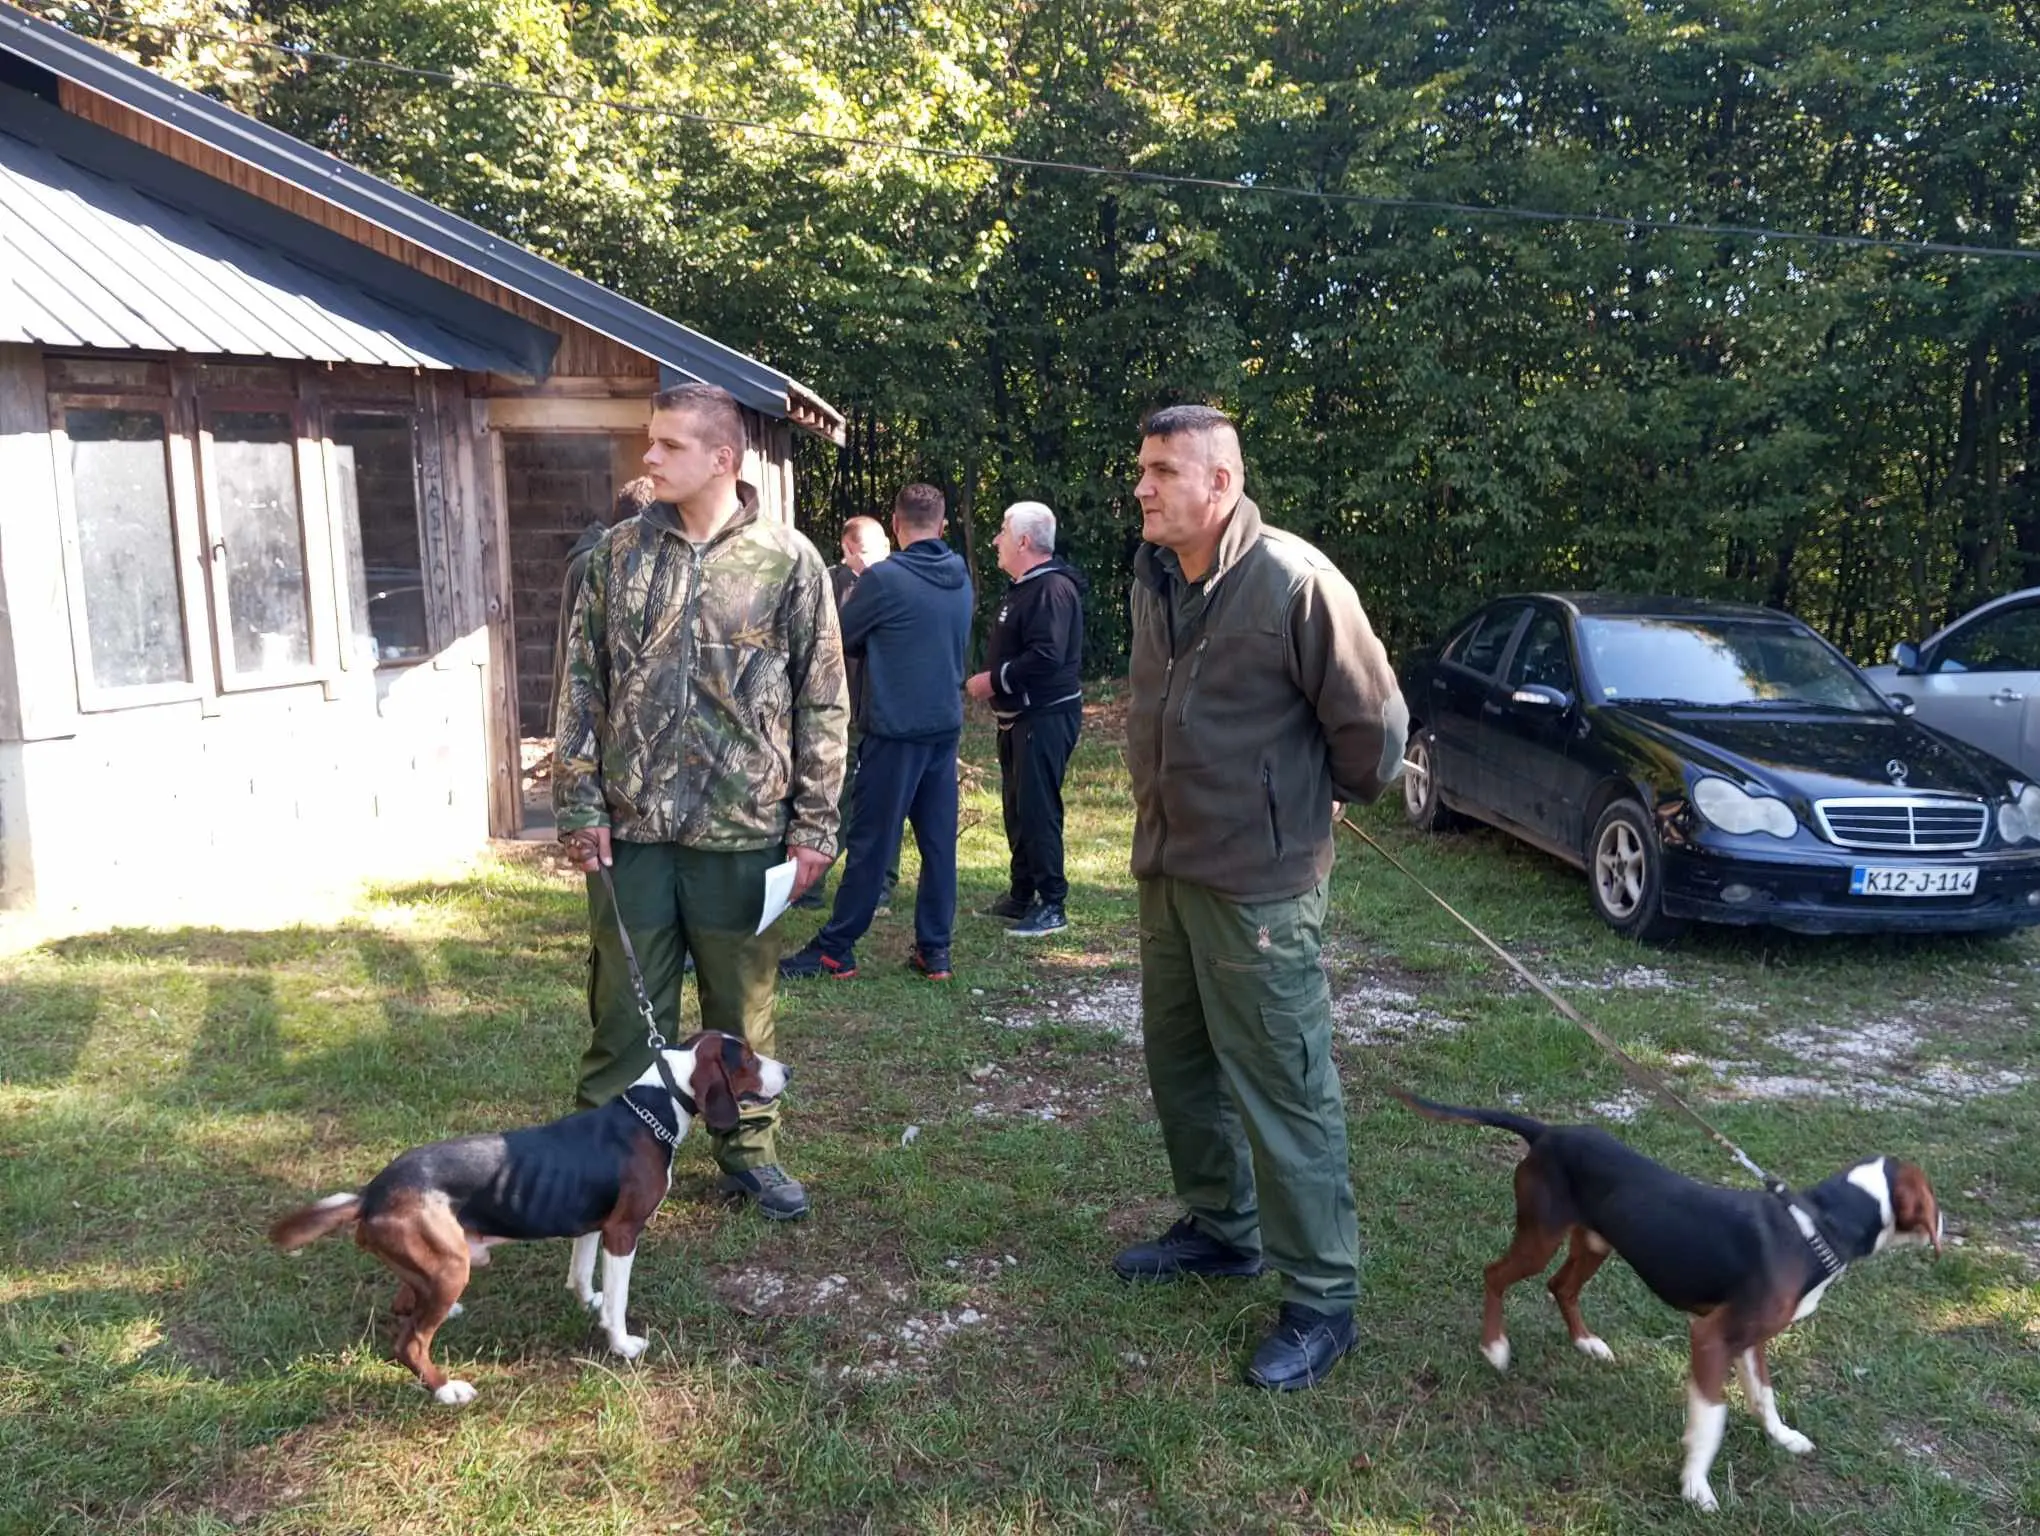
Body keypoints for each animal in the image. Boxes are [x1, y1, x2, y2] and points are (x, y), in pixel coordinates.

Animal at [270, 1031, 788, 1405]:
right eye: (746, 1057)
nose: (788, 1070)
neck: (656, 1105)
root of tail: (371, 1194)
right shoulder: (623, 1232)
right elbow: (619, 1301)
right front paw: (621, 1344)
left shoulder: (593, 1226)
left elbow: (582, 1274)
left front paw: (589, 1301)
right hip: (450, 1267)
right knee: (410, 1343)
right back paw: (447, 1390)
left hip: (434, 1263)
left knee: (404, 1306)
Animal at [1396, 1091, 1941, 1513]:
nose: (1948, 1226)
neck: (1816, 1226)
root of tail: (1548, 1132)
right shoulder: (1712, 1338)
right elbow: (1711, 1419)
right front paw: (1696, 1487)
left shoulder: (1751, 1340)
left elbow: (1764, 1397)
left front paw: (1783, 1438)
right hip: (1541, 1237)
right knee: (1496, 1275)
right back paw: (1495, 1347)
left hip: (1594, 1243)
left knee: (1561, 1287)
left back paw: (1587, 1343)